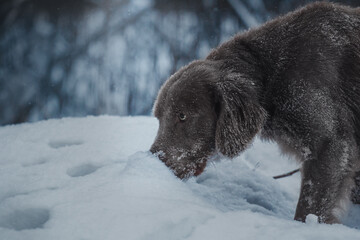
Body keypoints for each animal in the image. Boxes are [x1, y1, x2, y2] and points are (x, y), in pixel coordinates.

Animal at [150, 1, 360, 224]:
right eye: (159, 118)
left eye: (182, 116)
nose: (154, 161)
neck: (270, 74)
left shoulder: (330, 144)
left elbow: (309, 207)